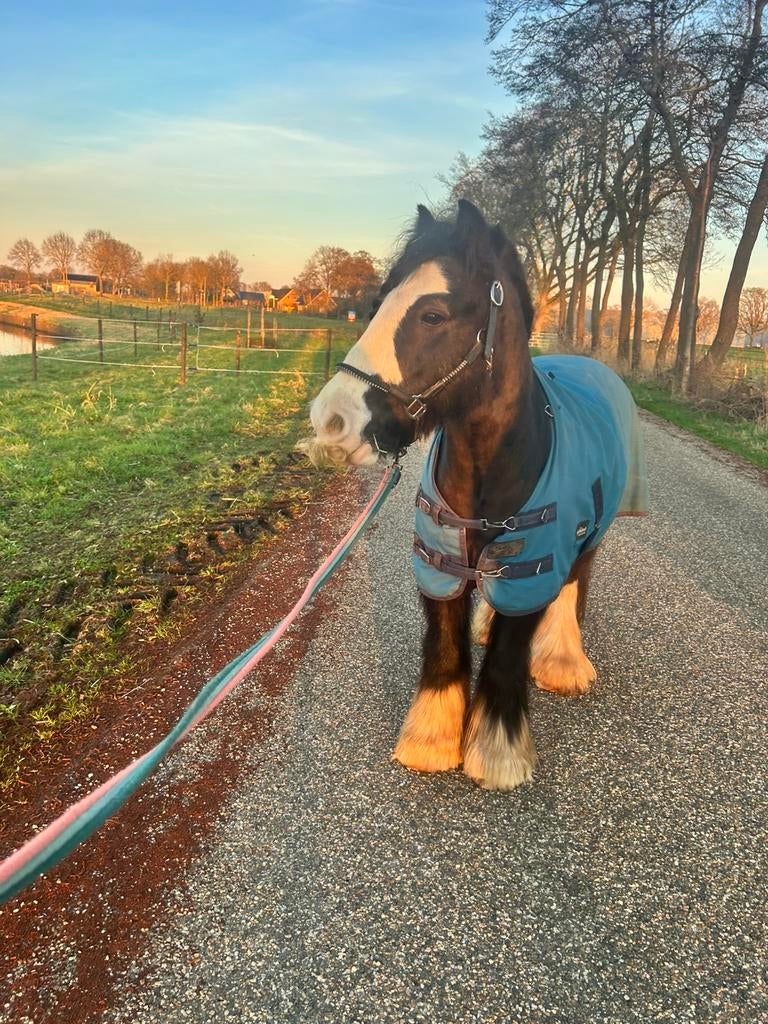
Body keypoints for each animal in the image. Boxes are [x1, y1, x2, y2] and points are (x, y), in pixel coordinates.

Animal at [305, 200, 648, 791]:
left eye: (433, 315)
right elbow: (446, 645)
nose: (331, 420)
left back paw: (563, 662)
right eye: (376, 304)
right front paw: (430, 743)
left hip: (588, 535)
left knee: (574, 584)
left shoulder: (535, 565)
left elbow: (510, 654)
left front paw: (498, 755)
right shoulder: (440, 562)